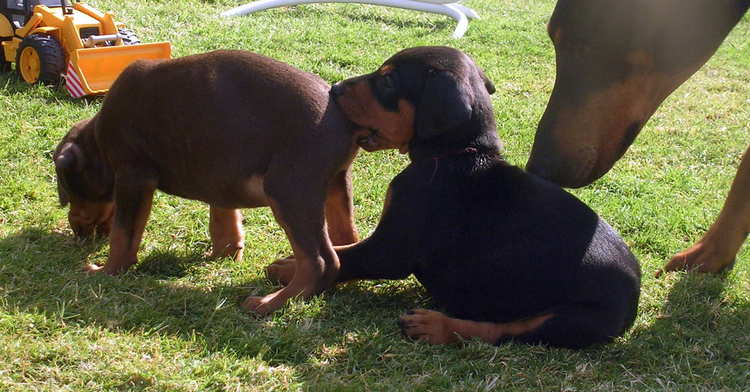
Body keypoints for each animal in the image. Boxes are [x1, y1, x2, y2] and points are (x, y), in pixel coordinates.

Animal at [53, 50, 362, 316]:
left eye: (68, 186)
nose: (75, 231)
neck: (98, 141)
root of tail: (342, 117)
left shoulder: (133, 176)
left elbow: (123, 234)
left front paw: (107, 270)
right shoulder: (220, 175)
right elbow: (223, 220)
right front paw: (225, 254)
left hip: (289, 191)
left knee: (320, 262)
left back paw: (271, 302)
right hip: (335, 185)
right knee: (346, 240)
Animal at [268, 46, 640, 350]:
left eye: (387, 82)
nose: (335, 88)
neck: (456, 154)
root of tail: (635, 292)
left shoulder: (393, 248)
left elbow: (348, 257)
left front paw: (288, 267)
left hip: (577, 317)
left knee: (504, 332)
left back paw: (434, 326)